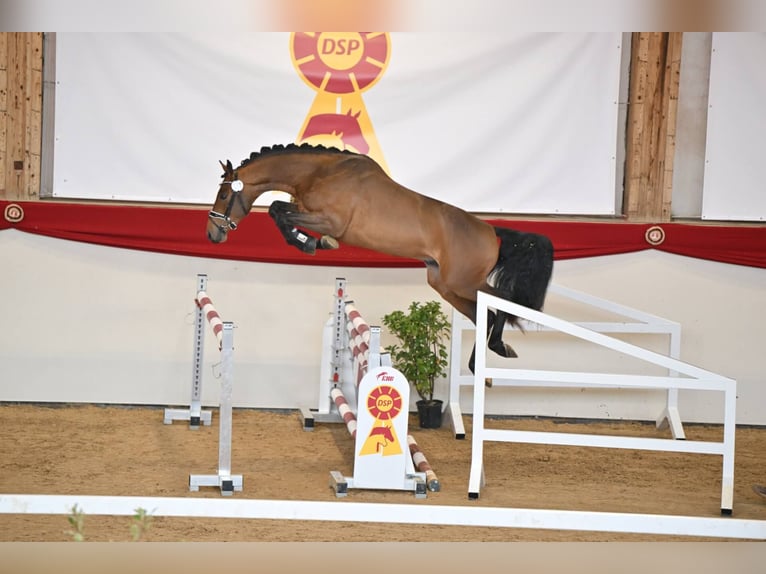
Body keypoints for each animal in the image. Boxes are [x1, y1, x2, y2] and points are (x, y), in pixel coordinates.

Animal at [204, 142, 552, 372]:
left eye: (224, 194)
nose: (212, 234)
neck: (319, 173)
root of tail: (491, 231)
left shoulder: (330, 220)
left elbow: (279, 211)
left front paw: (313, 243)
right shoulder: (309, 212)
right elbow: (280, 212)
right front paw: (313, 243)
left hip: (464, 282)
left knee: (503, 300)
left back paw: (498, 348)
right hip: (445, 285)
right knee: (486, 315)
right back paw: (481, 362)